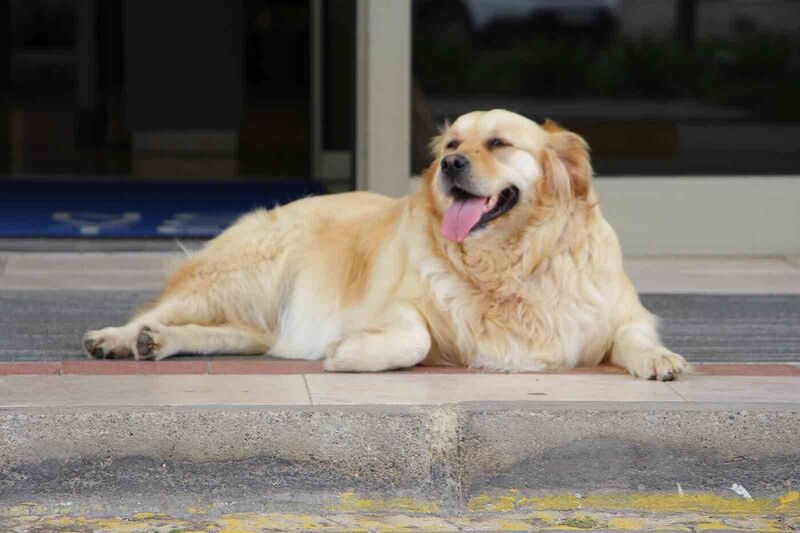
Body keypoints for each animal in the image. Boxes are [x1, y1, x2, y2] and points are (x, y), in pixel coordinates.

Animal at [86, 109, 688, 378]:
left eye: (498, 143)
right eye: (452, 143)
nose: (450, 164)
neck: (509, 263)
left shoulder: (619, 312)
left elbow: (634, 336)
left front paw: (660, 358)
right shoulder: (388, 305)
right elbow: (416, 338)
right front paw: (350, 352)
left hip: (254, 314)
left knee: (241, 335)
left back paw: (160, 342)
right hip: (246, 271)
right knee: (156, 310)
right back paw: (120, 338)